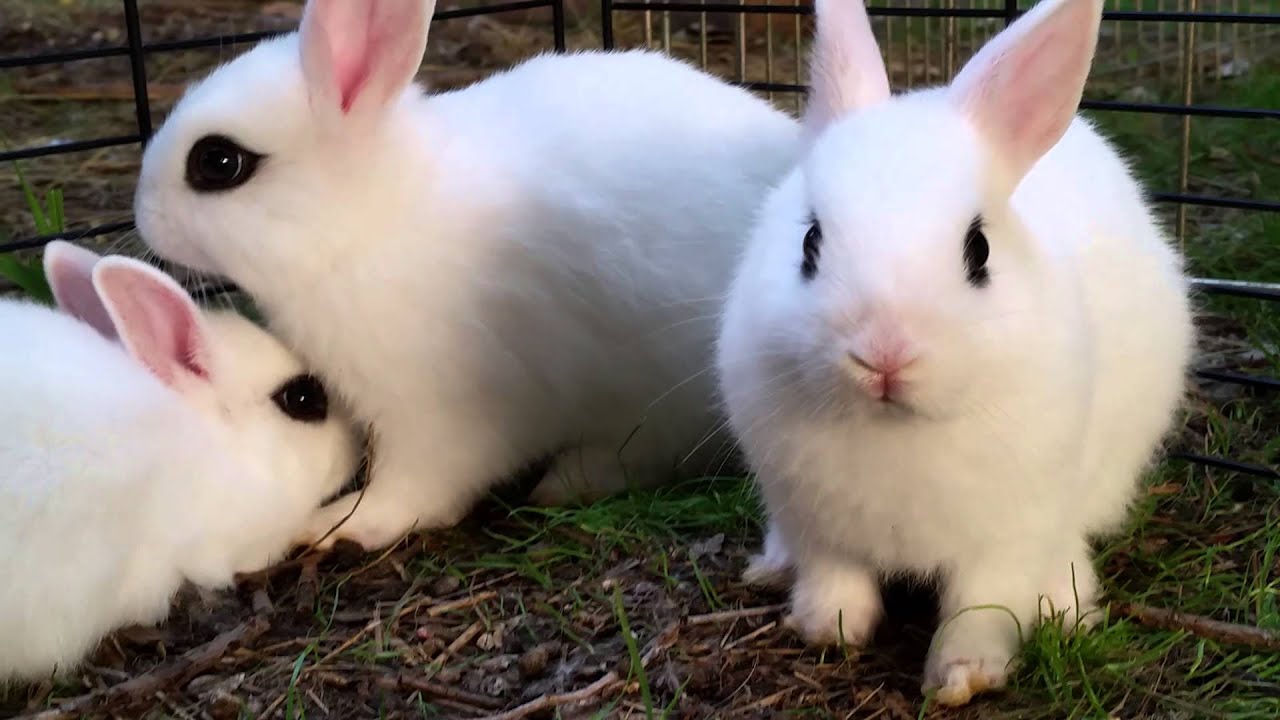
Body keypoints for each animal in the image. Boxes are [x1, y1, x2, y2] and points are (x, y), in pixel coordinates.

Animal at [132, 0, 798, 548]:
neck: (369, 222)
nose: (142, 217)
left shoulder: (435, 410)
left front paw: (341, 525)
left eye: (220, 162)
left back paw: (568, 480)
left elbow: (416, 487)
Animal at [716, 0, 1192, 707]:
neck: (897, 431)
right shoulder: (814, 520)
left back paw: (1066, 604)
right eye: (809, 242)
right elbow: (836, 576)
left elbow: (983, 605)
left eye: (980, 251)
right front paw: (828, 628)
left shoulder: (1010, 533)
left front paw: (962, 676)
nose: (884, 354)